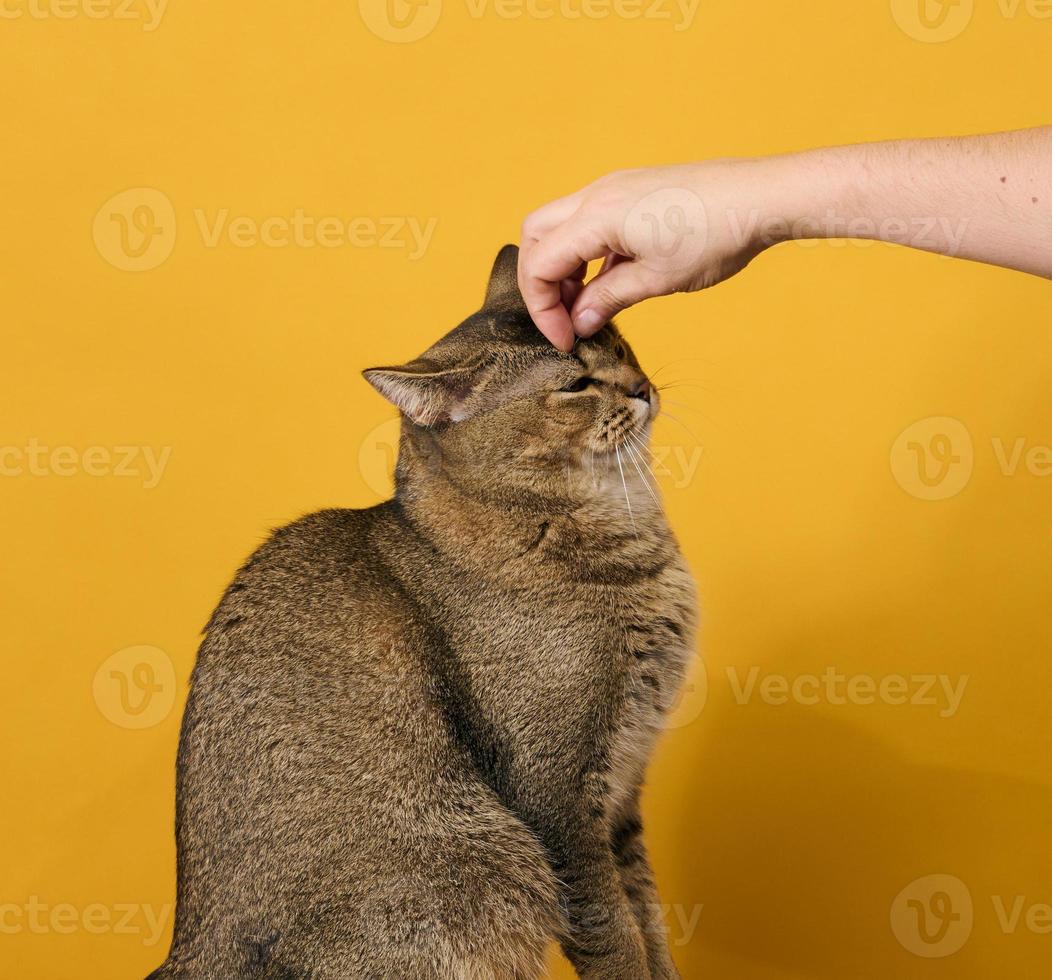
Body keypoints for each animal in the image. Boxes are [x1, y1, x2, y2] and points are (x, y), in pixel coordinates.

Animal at [148, 244, 698, 979]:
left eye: (616, 342)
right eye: (576, 386)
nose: (639, 387)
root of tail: (188, 952)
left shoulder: (622, 795)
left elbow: (648, 918)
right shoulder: (558, 799)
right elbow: (615, 935)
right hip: (492, 860)